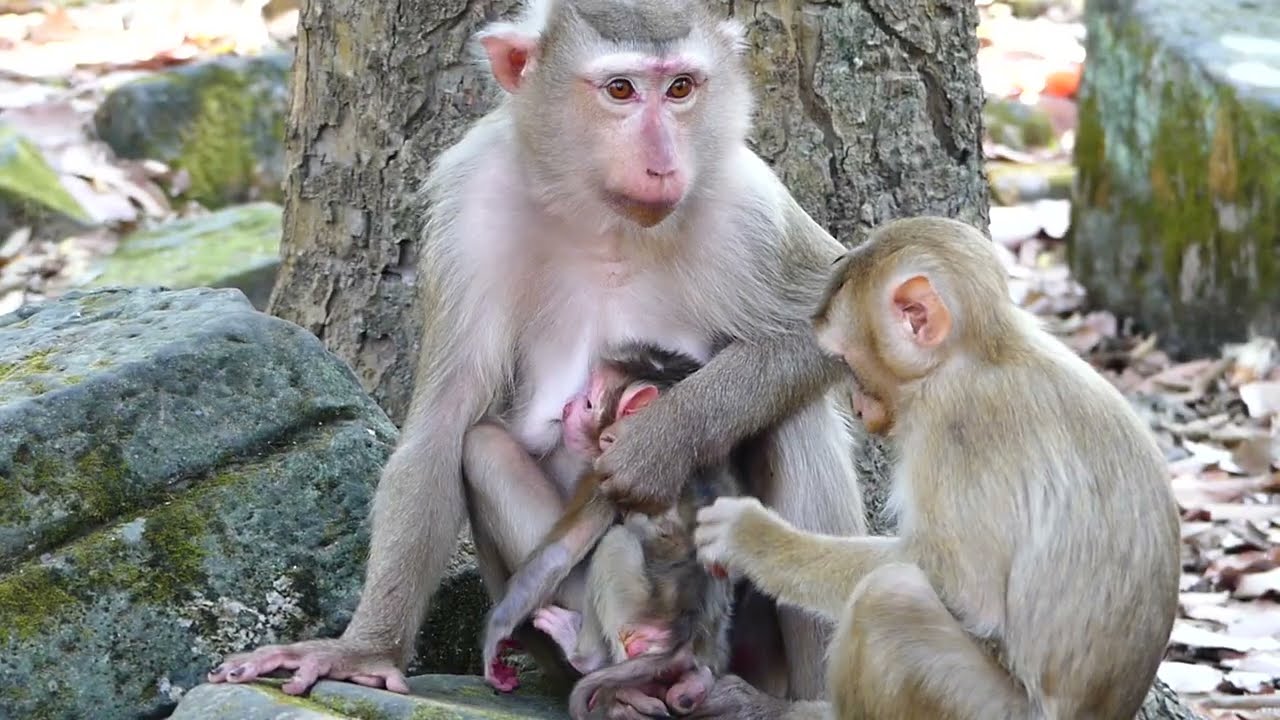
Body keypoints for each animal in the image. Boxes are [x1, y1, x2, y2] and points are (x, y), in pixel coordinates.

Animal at [206, 0, 867, 714]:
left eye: (681, 88)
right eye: (620, 90)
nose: (664, 163)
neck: (608, 219)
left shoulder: (744, 200)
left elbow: (829, 324)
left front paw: (660, 441)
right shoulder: (472, 208)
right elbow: (445, 421)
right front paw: (363, 652)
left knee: (793, 417)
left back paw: (798, 701)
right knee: (483, 448)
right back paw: (618, 670)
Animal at [690, 216, 1183, 720]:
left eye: (846, 361)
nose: (856, 404)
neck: (985, 353)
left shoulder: (957, 428)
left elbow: (965, 591)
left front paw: (753, 538)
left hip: (986, 708)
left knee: (886, 601)